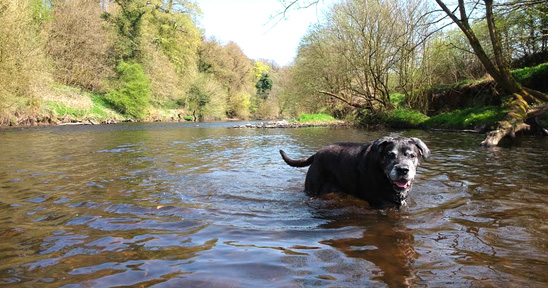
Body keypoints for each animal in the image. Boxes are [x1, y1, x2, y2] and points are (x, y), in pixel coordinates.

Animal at [280, 136, 430, 208]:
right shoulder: (380, 204)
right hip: (313, 188)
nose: (403, 169)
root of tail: (316, 154)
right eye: (390, 155)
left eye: (412, 155)